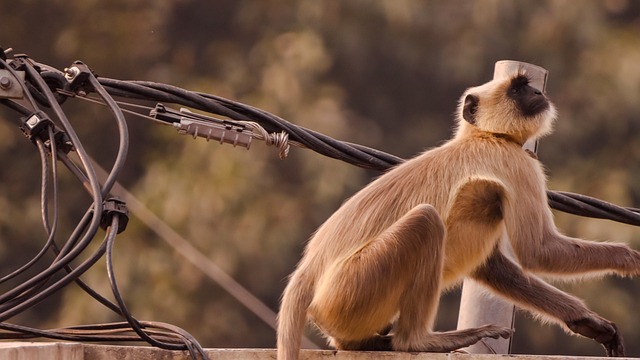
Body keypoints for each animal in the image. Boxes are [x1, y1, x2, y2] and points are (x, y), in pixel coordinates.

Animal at [278, 71, 636, 358]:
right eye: (518, 89)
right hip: (350, 290)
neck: (484, 136)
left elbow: (492, 265)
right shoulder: (517, 164)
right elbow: (538, 251)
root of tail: (307, 272)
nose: (538, 93)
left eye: (528, 87)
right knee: (425, 221)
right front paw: (629, 259)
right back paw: (419, 341)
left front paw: (587, 321)